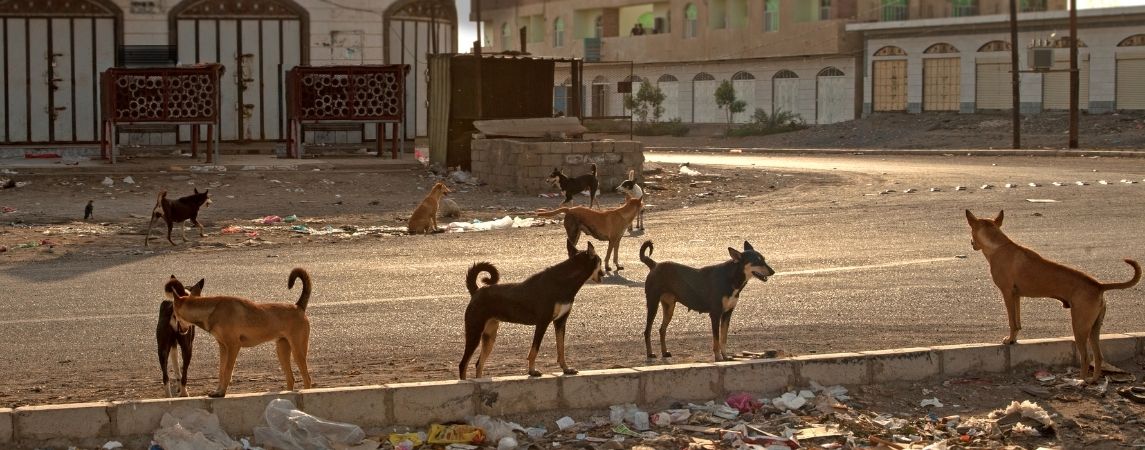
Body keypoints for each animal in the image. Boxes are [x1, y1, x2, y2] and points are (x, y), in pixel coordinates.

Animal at [161, 266, 313, 396]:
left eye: (173, 313)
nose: (174, 327)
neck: (211, 309)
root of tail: (298, 306)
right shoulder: (223, 347)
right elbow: (221, 371)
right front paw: (218, 391)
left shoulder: (233, 346)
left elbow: (228, 371)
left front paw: (222, 392)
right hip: (282, 350)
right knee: (291, 378)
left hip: (298, 351)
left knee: (307, 378)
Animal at [455, 240, 604, 377]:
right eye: (600, 261)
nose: (603, 273)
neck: (564, 281)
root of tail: (476, 292)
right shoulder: (543, 322)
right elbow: (534, 350)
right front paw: (532, 371)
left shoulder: (560, 322)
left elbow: (561, 349)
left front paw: (566, 369)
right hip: (474, 332)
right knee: (463, 364)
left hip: (489, 336)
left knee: (479, 364)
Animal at [641, 238, 774, 361]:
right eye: (756, 261)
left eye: (764, 259)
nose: (772, 271)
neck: (731, 277)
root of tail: (654, 264)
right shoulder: (715, 314)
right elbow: (716, 339)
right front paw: (718, 357)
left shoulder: (727, 314)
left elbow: (723, 338)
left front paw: (725, 356)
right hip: (652, 304)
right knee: (647, 331)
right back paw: (650, 353)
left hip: (669, 307)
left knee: (662, 329)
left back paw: (664, 352)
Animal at [961, 210, 1140, 382]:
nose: (971, 243)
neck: (998, 246)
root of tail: (1099, 285)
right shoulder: (1016, 296)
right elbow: (1017, 323)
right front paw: (1014, 339)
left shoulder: (1007, 293)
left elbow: (1012, 322)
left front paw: (1010, 340)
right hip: (1094, 328)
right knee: (1098, 356)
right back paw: (1093, 380)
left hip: (1080, 326)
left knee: (1086, 357)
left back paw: (1080, 381)